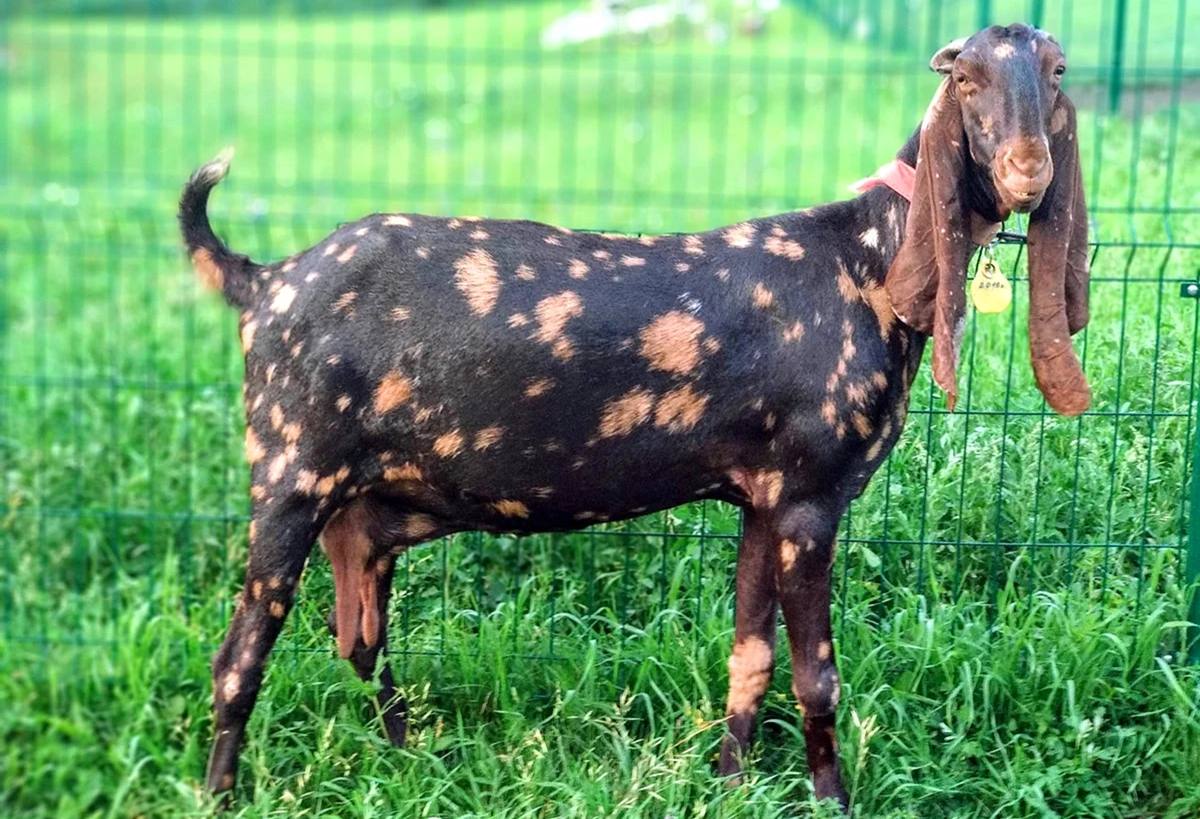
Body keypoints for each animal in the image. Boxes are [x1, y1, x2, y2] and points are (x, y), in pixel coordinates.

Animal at [180, 23, 1089, 809]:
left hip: (356, 515)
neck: (865, 264)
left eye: (1056, 71)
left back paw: (408, 760)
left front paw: (730, 784)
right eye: (965, 78)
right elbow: (817, 674)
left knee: (360, 642)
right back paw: (221, 794)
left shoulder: (760, 498)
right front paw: (832, 799)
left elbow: (750, 656)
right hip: (291, 475)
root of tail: (263, 281)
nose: (1027, 172)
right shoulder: (808, 497)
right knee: (239, 657)